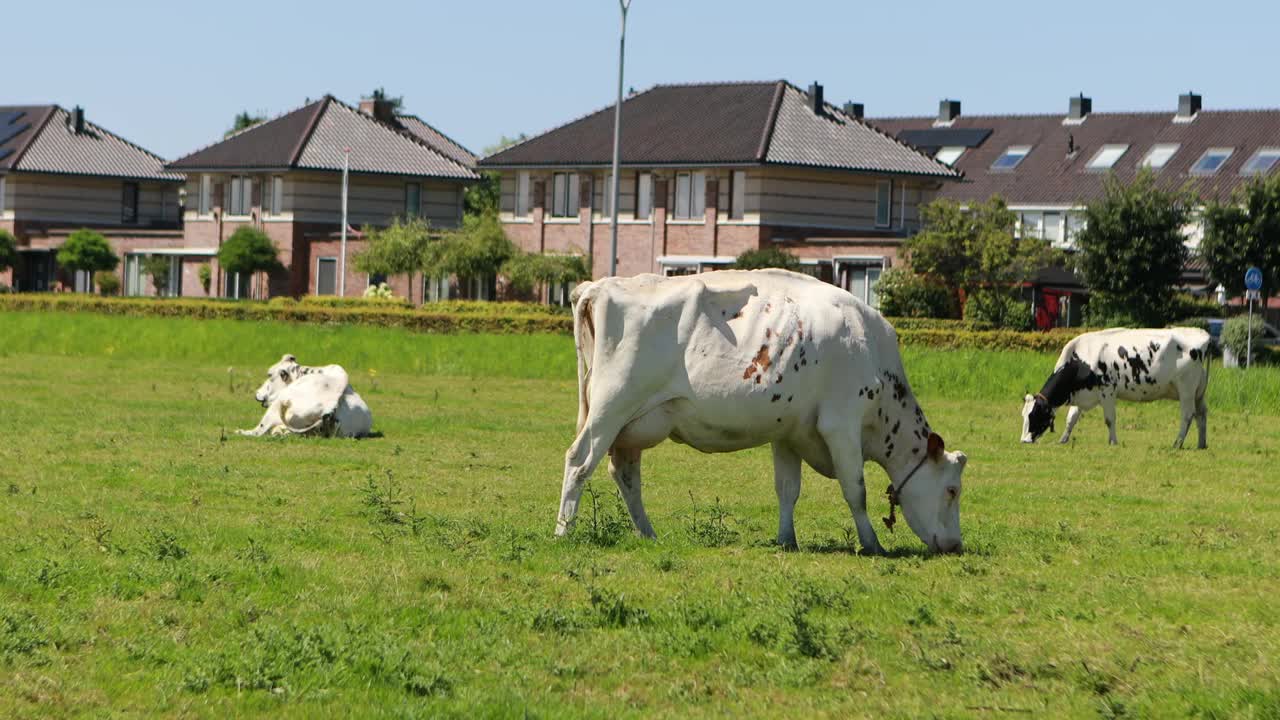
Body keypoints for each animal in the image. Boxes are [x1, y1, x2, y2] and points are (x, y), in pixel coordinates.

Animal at [239, 353, 373, 438]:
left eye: (269, 375)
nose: (257, 393)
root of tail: (331, 406)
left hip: (277, 405)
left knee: (259, 431)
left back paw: (242, 432)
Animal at [560, 270, 967, 556]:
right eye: (952, 490)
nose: (956, 545)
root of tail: (598, 287)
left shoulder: (789, 431)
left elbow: (787, 490)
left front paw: (787, 539)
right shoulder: (841, 424)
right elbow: (856, 490)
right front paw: (872, 544)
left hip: (634, 424)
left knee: (625, 474)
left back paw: (648, 534)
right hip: (611, 406)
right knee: (579, 461)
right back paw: (563, 530)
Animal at [1018, 326, 1208, 448]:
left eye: (1034, 415)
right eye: (1024, 415)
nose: (1024, 440)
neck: (1082, 359)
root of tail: (1201, 333)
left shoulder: (1107, 390)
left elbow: (1110, 419)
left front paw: (1113, 442)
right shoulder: (1083, 393)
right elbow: (1071, 418)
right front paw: (1063, 440)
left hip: (1186, 390)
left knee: (1188, 415)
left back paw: (1177, 443)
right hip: (1199, 392)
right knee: (1201, 414)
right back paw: (1201, 444)